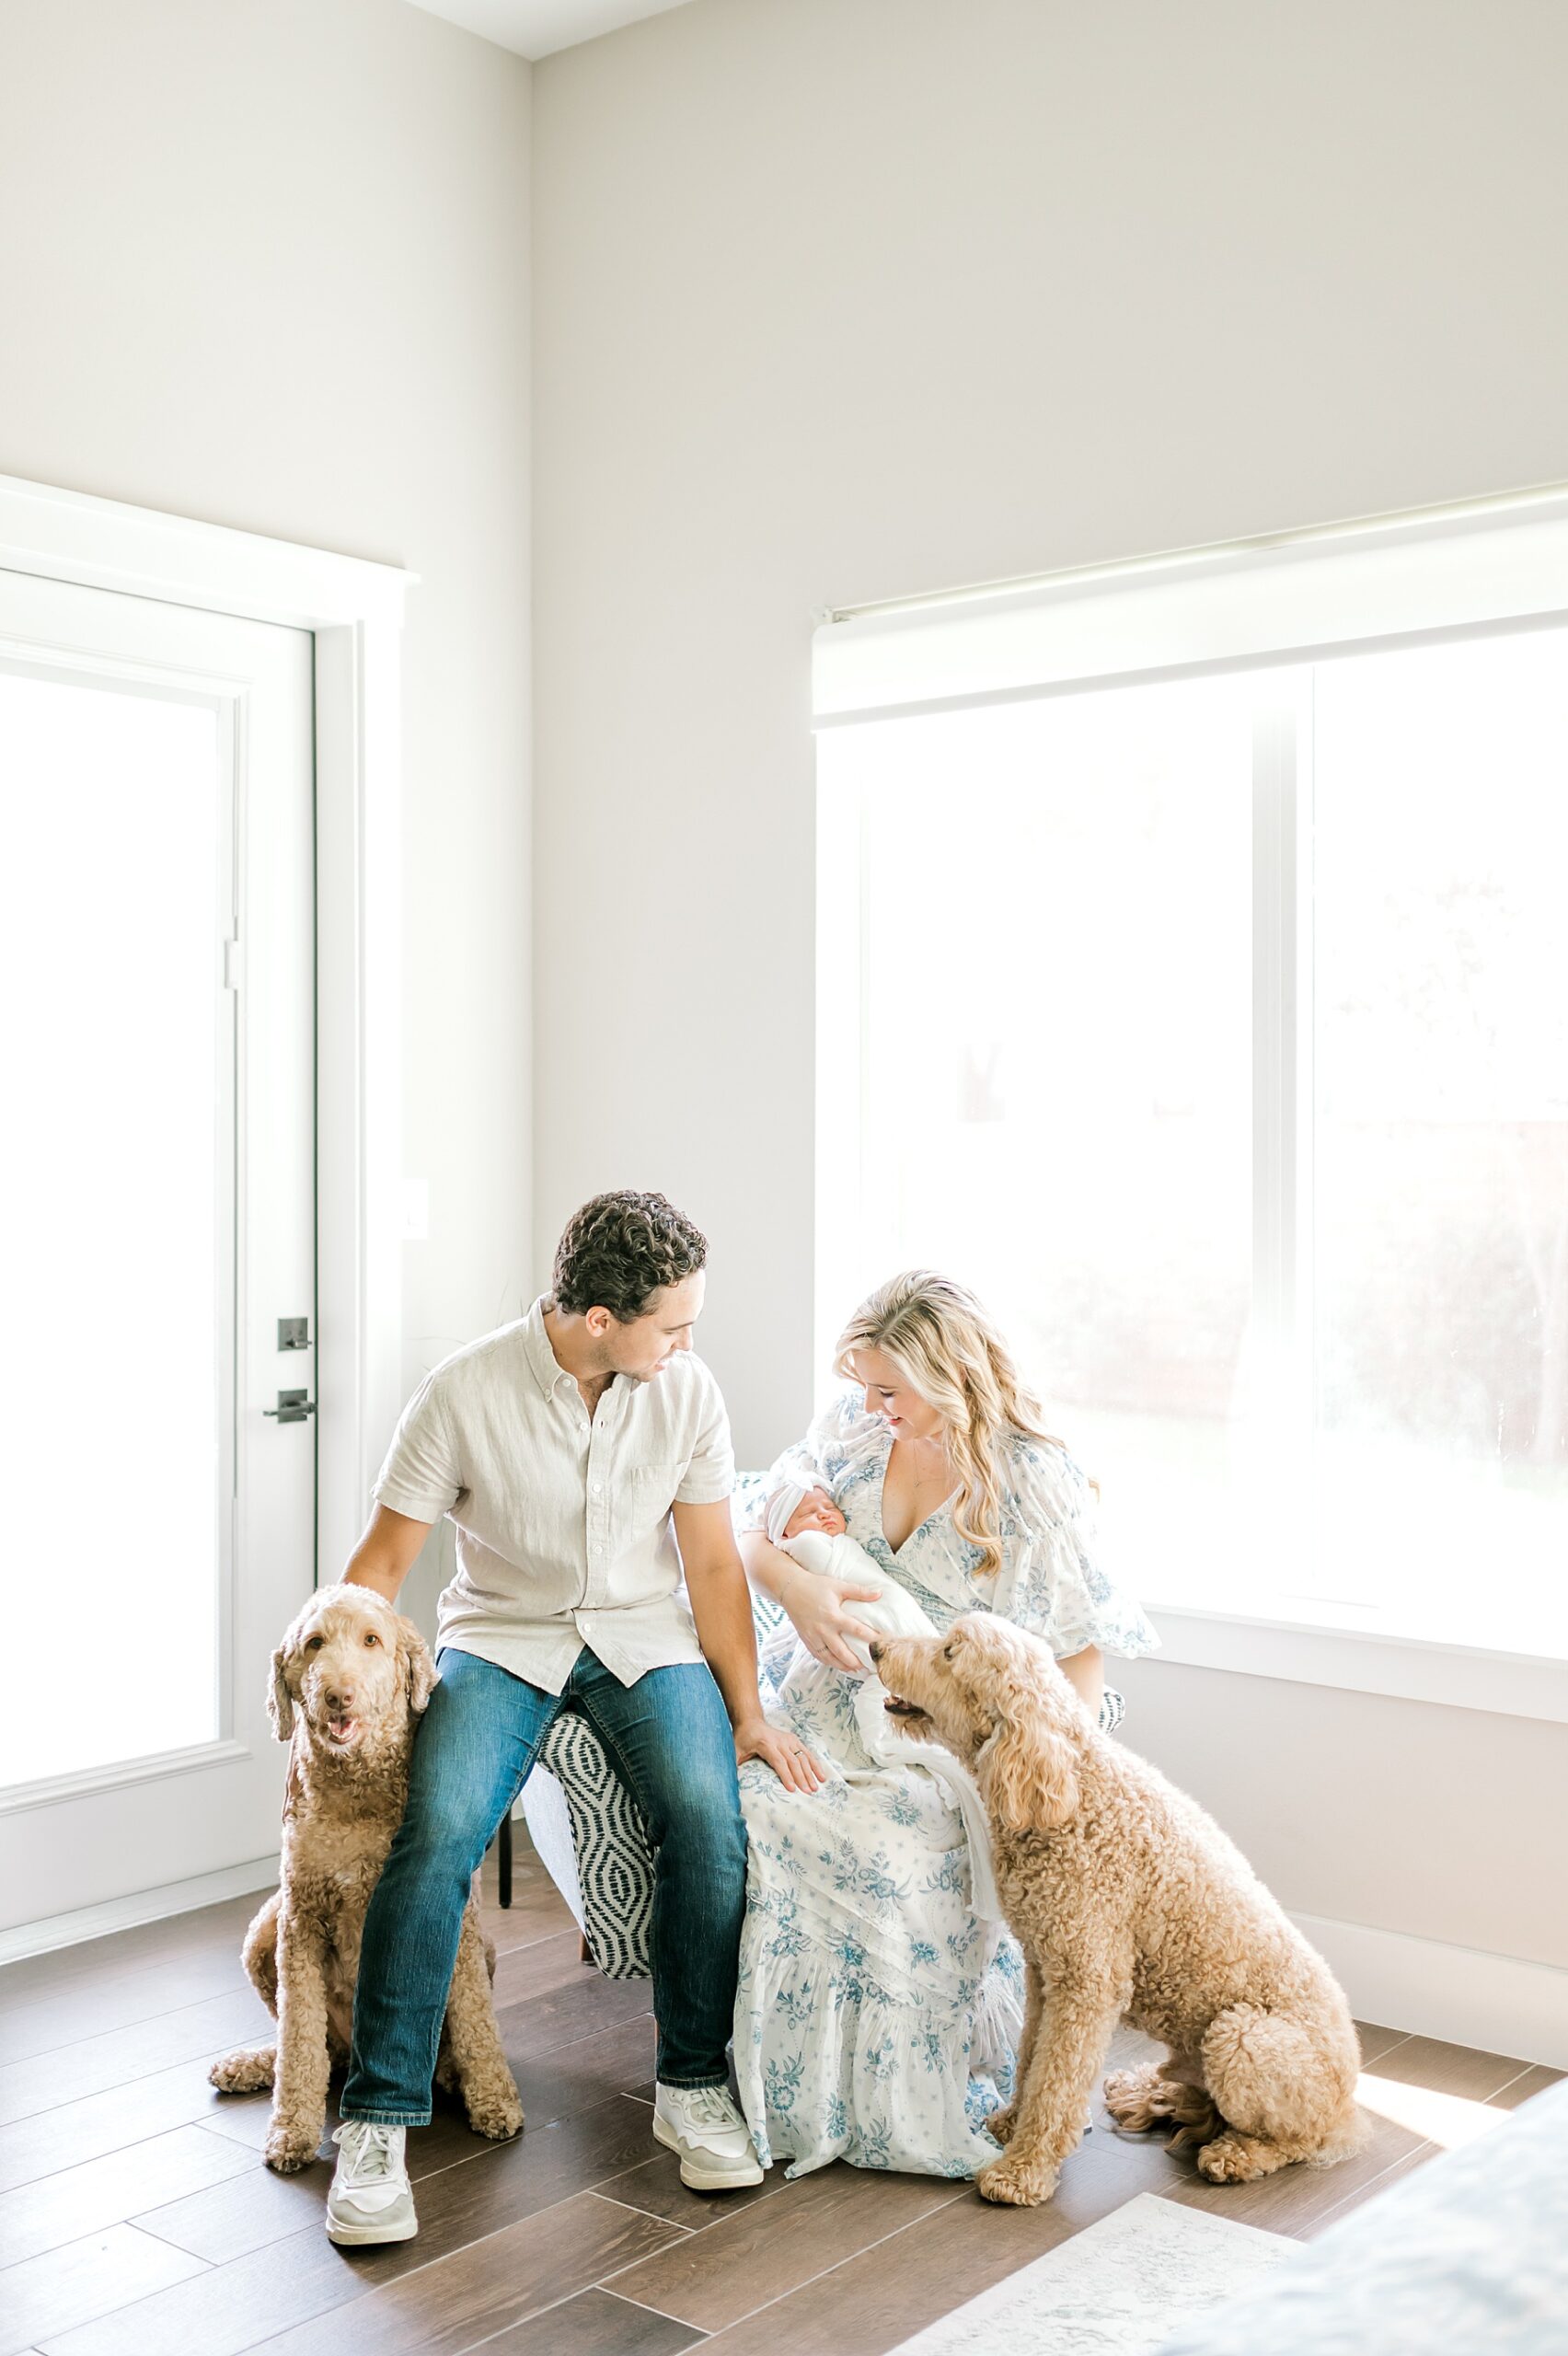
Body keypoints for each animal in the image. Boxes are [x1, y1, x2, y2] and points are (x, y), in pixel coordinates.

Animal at [204, 1583, 525, 2167]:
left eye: (372, 1640)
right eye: (314, 1643)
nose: (338, 1695)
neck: (355, 1789)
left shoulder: (460, 1923)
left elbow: (475, 2020)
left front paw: (494, 2100)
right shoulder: (300, 1919)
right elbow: (299, 2040)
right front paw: (291, 2131)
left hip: (485, 1948)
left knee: (443, 2036)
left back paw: (448, 2074)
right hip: (264, 1930)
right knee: (318, 2051)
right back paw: (252, 2065)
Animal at [870, 1621, 1365, 2205]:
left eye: (949, 1651)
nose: (875, 1647)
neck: (1070, 1790)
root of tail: (1349, 2101)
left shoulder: (1087, 1982)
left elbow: (1056, 2080)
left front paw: (1022, 2171)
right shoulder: (1045, 1972)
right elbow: (1031, 2058)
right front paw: (1013, 2122)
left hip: (1244, 2037)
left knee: (1297, 2139)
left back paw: (1236, 2154)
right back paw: (1146, 2092)